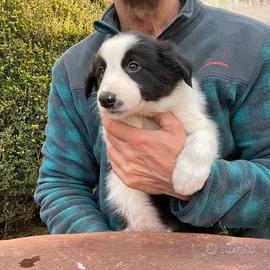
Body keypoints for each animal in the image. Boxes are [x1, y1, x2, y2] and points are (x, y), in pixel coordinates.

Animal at [85, 33, 218, 232]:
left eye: (133, 66)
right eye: (101, 72)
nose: (105, 100)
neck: (149, 112)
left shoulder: (199, 122)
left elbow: (202, 139)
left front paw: (187, 177)